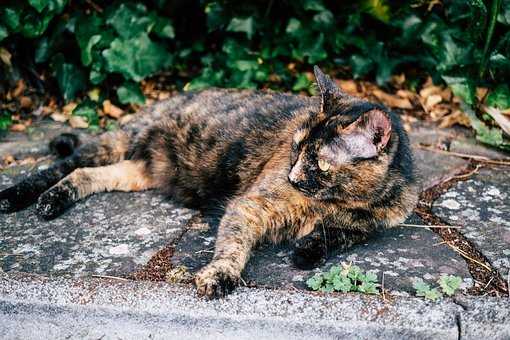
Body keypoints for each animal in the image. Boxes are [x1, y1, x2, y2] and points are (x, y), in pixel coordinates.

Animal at [0, 66, 416, 298]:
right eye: (296, 149)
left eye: (316, 162)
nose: (292, 175)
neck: (347, 199)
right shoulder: (250, 206)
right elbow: (233, 245)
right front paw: (221, 274)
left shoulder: (374, 222)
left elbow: (342, 234)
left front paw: (307, 250)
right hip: (117, 142)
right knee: (64, 164)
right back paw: (22, 197)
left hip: (137, 171)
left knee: (84, 175)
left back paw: (55, 200)